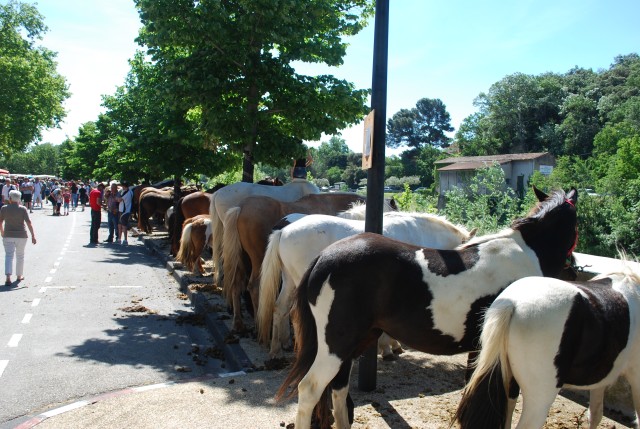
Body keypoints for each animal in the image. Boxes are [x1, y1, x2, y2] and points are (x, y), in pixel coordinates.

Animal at [258, 211, 472, 358]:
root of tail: (284, 229)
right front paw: (388, 347)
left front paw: (392, 345)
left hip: (289, 282)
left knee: (280, 308)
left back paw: (276, 349)